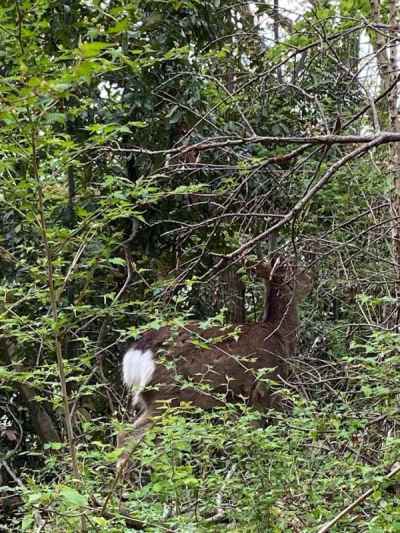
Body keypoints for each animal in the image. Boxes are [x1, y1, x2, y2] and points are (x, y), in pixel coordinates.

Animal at [116, 256, 312, 468]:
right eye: (297, 270)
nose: (312, 278)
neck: (278, 335)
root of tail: (136, 353)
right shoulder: (266, 386)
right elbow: (262, 432)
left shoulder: (238, 400)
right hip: (166, 396)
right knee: (128, 436)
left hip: (154, 399)